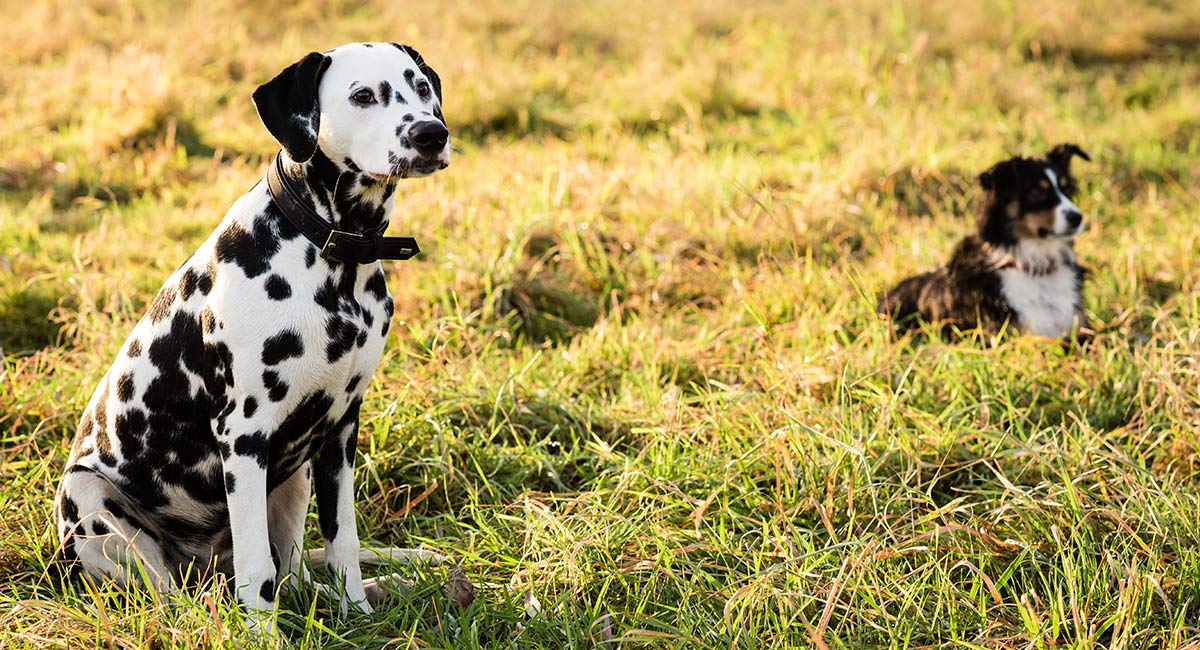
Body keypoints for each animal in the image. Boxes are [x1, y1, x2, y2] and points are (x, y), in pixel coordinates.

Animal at [51, 41, 451, 633]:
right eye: (362, 95)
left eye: (421, 87)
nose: (431, 134)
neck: (331, 256)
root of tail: (201, 565)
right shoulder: (243, 436)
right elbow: (257, 569)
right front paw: (263, 633)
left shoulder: (339, 433)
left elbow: (343, 543)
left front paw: (357, 611)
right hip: (93, 500)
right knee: (176, 594)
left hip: (294, 479)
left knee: (297, 572)